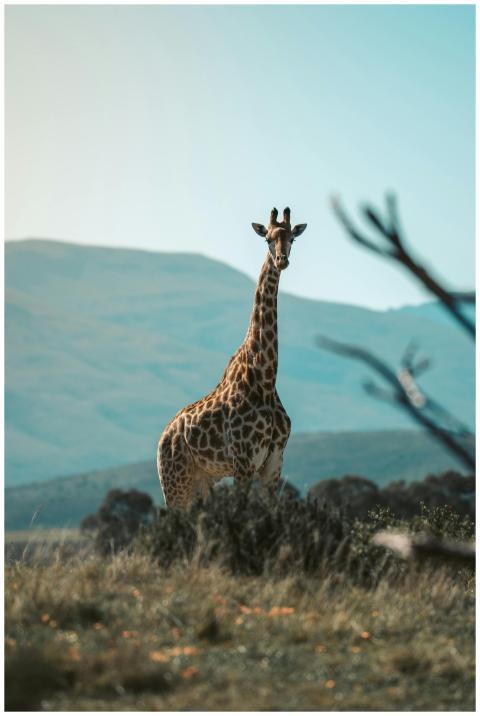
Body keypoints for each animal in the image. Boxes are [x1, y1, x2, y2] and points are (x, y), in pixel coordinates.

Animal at [157, 206, 307, 508]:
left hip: (201, 482)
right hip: (174, 482)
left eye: (292, 239)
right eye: (267, 239)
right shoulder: (243, 460)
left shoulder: (274, 462)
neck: (265, 379)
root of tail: (161, 439)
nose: (282, 260)